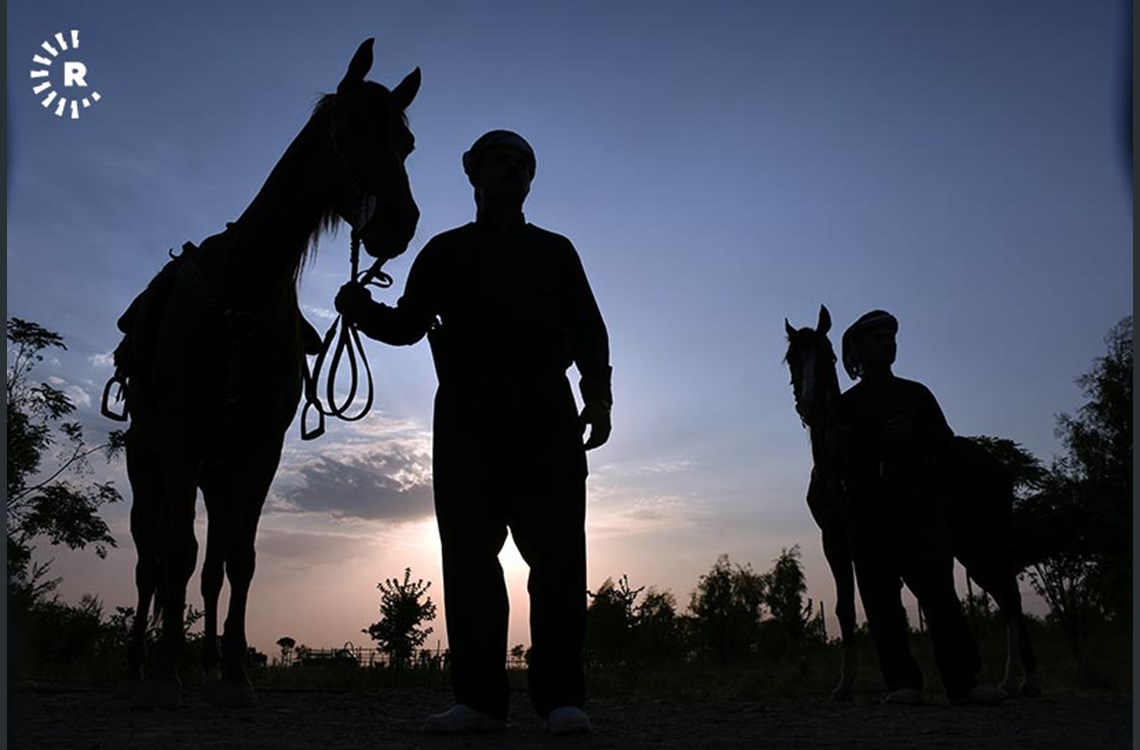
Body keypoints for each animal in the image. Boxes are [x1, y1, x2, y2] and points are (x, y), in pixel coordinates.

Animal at [110, 39, 424, 706]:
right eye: (349, 126)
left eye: (406, 141)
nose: (400, 223)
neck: (242, 293)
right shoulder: (181, 442)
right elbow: (177, 554)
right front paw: (170, 667)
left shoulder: (260, 452)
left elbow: (239, 560)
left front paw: (231, 670)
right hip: (149, 459)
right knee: (151, 559)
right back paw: (139, 665)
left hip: (217, 471)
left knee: (209, 566)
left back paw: (204, 663)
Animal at [788, 305, 1039, 702]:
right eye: (792, 358)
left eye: (828, 356)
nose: (812, 406)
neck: (836, 464)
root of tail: (998, 467)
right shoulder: (835, 539)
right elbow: (846, 609)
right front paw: (844, 685)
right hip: (968, 545)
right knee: (1003, 592)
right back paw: (1018, 680)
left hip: (987, 536)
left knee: (1009, 595)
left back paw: (1014, 680)